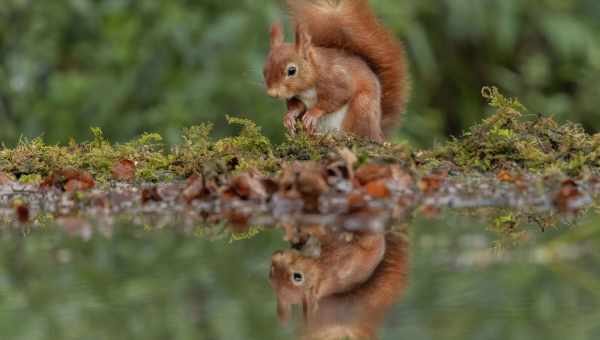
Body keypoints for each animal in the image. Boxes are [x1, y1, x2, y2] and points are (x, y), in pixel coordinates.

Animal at [262, 0, 408, 142]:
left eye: (292, 70)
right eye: (264, 70)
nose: (272, 93)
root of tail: (378, 131)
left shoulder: (336, 78)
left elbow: (338, 96)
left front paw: (313, 113)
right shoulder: (296, 95)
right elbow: (297, 106)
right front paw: (289, 117)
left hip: (362, 107)